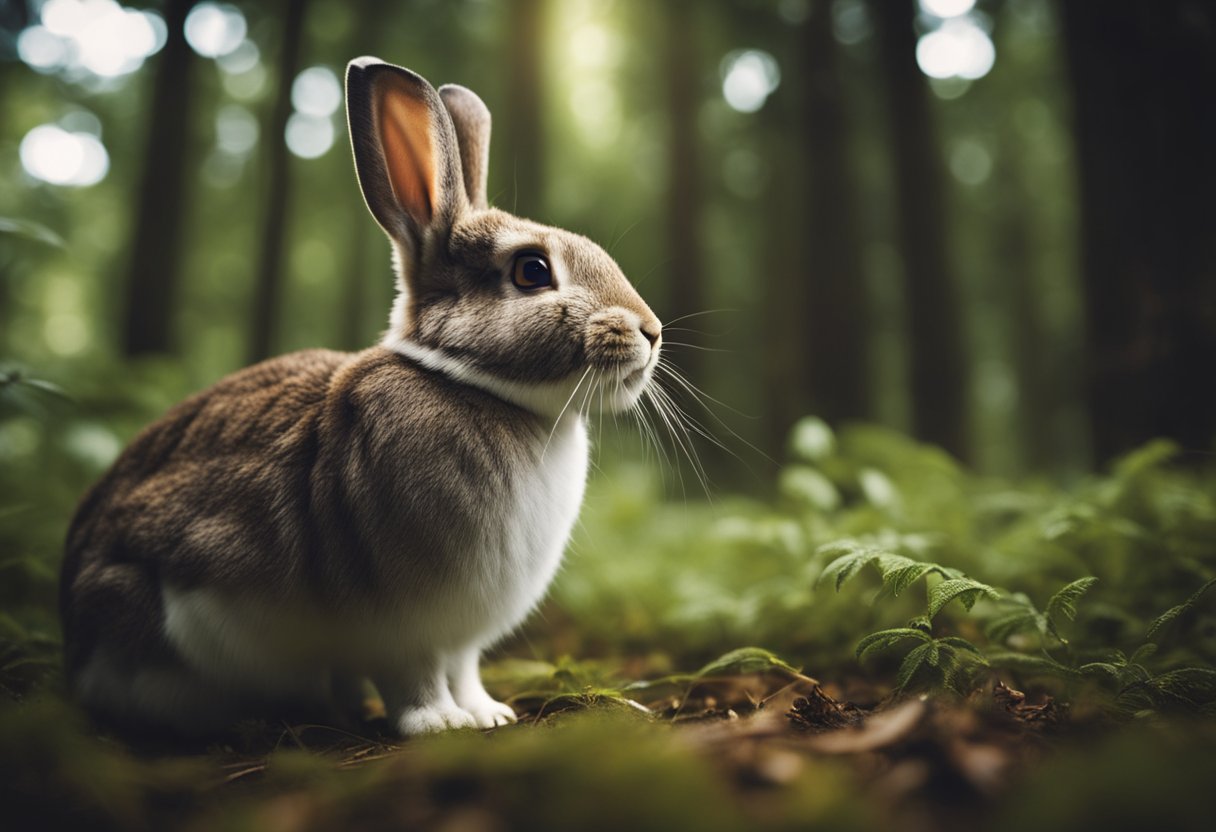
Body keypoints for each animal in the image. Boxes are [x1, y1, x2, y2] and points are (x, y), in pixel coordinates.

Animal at [55, 56, 661, 734]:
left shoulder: (463, 639)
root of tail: (74, 641)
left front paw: (488, 714)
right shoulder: (397, 620)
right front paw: (440, 725)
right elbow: (415, 678)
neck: (474, 387)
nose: (651, 331)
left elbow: (464, 670)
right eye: (531, 271)